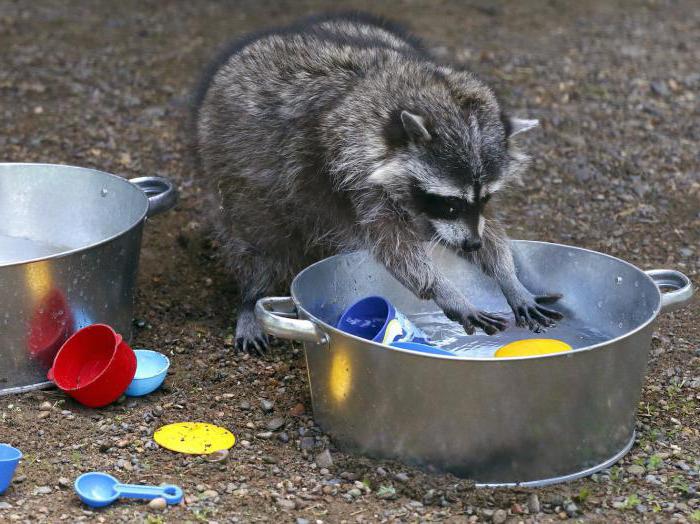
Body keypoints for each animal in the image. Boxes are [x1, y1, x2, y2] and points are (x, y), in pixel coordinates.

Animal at [193, 12, 564, 354]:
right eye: (450, 203)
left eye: (484, 199)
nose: (472, 245)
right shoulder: (346, 170)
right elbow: (392, 242)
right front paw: (444, 289)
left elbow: (465, 230)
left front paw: (508, 277)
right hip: (234, 168)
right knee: (255, 237)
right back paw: (252, 294)